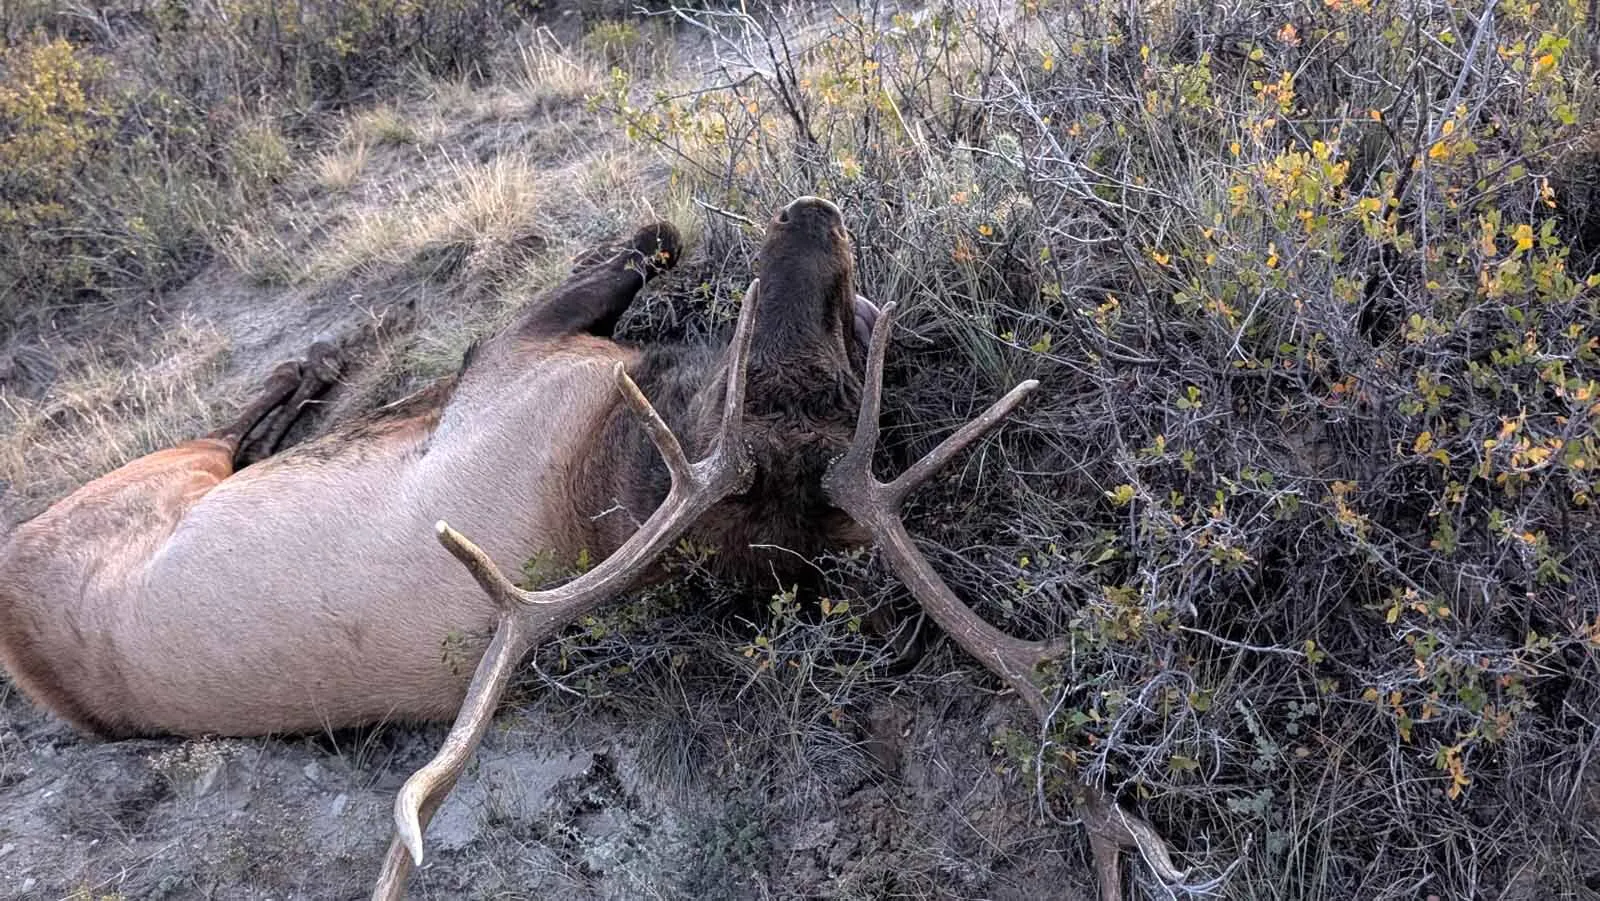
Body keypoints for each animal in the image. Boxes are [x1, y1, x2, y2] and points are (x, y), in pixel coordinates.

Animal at [0, 196, 1184, 901]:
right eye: (764, 361)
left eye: (841, 373)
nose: (809, 212)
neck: (612, 469)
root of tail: (25, 643)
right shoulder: (519, 354)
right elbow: (646, 241)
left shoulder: (519, 359)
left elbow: (639, 245)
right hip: (143, 482)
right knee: (235, 422)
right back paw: (325, 360)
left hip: (160, 483)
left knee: (239, 427)